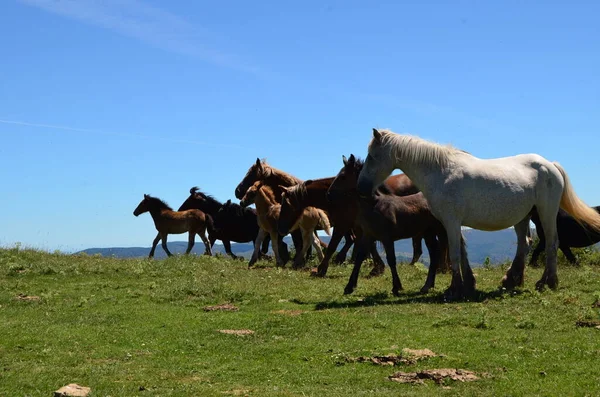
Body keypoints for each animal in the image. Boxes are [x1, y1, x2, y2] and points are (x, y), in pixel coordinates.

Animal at [328, 154, 454, 294]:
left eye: (343, 176)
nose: (329, 194)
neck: (375, 204)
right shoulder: (368, 236)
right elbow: (359, 258)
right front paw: (349, 286)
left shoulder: (387, 238)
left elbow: (391, 260)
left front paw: (396, 287)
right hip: (428, 233)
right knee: (434, 253)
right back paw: (427, 286)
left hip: (439, 230)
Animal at [356, 128, 600, 298]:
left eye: (372, 156)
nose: (362, 188)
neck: (441, 172)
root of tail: (550, 164)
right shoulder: (454, 223)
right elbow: (463, 252)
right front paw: (468, 285)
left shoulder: (451, 222)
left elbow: (455, 253)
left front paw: (454, 289)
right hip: (523, 216)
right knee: (525, 244)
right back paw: (512, 281)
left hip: (545, 212)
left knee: (551, 243)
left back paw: (547, 282)